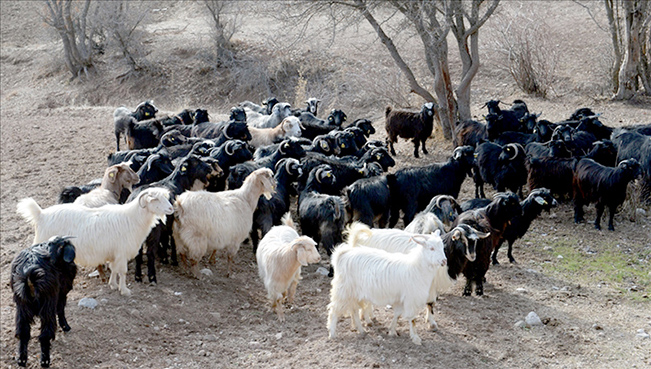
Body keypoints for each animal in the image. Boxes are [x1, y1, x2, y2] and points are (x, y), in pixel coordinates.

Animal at [11, 236, 77, 366]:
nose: (73, 267)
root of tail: (29, 277)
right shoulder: (60, 293)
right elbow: (60, 309)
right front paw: (66, 327)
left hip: (22, 306)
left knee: (23, 332)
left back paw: (22, 360)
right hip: (48, 305)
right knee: (45, 335)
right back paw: (45, 361)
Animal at [16, 187, 173, 296]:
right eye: (155, 199)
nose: (171, 208)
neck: (132, 218)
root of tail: (40, 214)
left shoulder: (114, 254)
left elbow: (114, 269)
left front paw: (113, 285)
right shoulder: (122, 253)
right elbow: (122, 272)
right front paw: (124, 290)